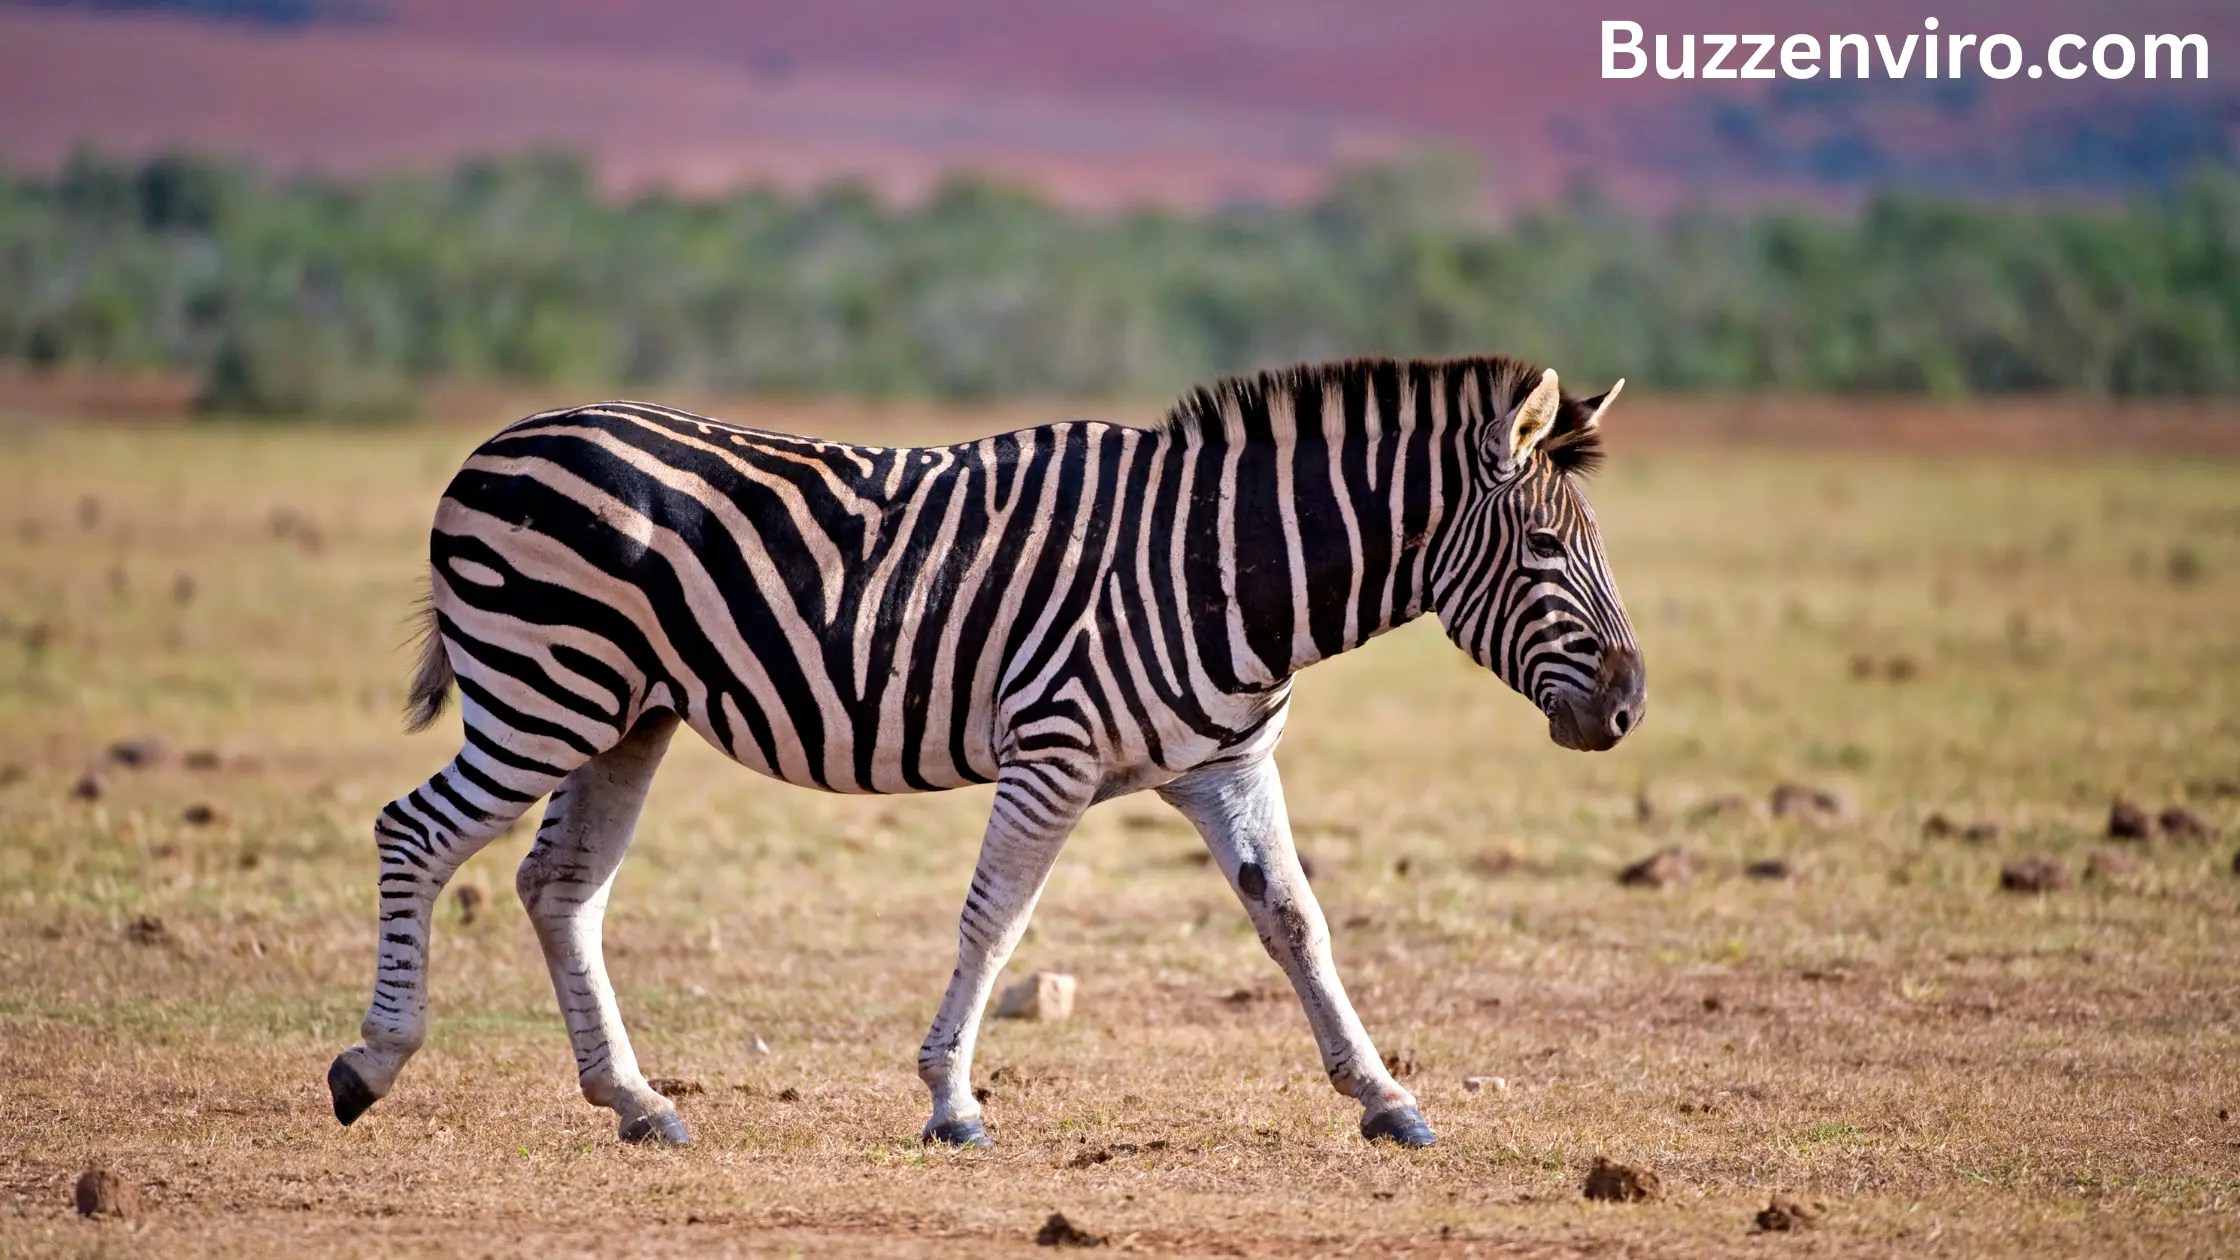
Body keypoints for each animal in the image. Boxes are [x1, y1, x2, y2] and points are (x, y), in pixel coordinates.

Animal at [326, 354, 1644, 1151]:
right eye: (1541, 547)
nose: (1629, 709)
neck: (1221, 567)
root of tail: (498, 441)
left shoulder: (1223, 766)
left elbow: (1295, 924)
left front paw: (1383, 1098)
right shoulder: (1050, 753)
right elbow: (995, 923)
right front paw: (953, 1102)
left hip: (619, 716)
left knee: (556, 887)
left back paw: (636, 1102)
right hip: (538, 693)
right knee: (414, 832)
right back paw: (373, 1062)